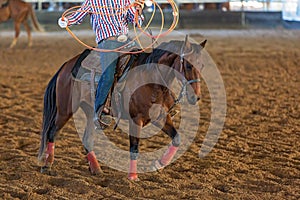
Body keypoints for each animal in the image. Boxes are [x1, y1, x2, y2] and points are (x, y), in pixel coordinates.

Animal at [37, 36, 206, 181]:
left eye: (202, 65)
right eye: (189, 65)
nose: (196, 97)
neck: (150, 78)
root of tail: (66, 65)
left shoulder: (161, 117)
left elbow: (177, 138)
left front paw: (158, 164)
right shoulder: (136, 119)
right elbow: (134, 148)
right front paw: (132, 177)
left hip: (91, 112)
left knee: (87, 140)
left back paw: (96, 169)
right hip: (65, 110)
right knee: (52, 132)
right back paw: (47, 165)